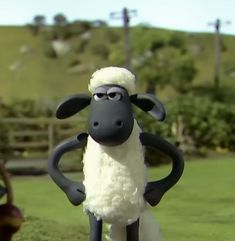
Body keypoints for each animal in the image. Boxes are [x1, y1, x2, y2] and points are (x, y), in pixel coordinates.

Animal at [47, 66, 184, 241]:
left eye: (116, 96)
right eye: (98, 97)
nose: (106, 124)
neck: (113, 148)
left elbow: (178, 160)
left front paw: (152, 192)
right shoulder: (83, 139)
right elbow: (53, 159)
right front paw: (77, 192)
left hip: (131, 213)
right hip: (97, 209)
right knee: (95, 228)